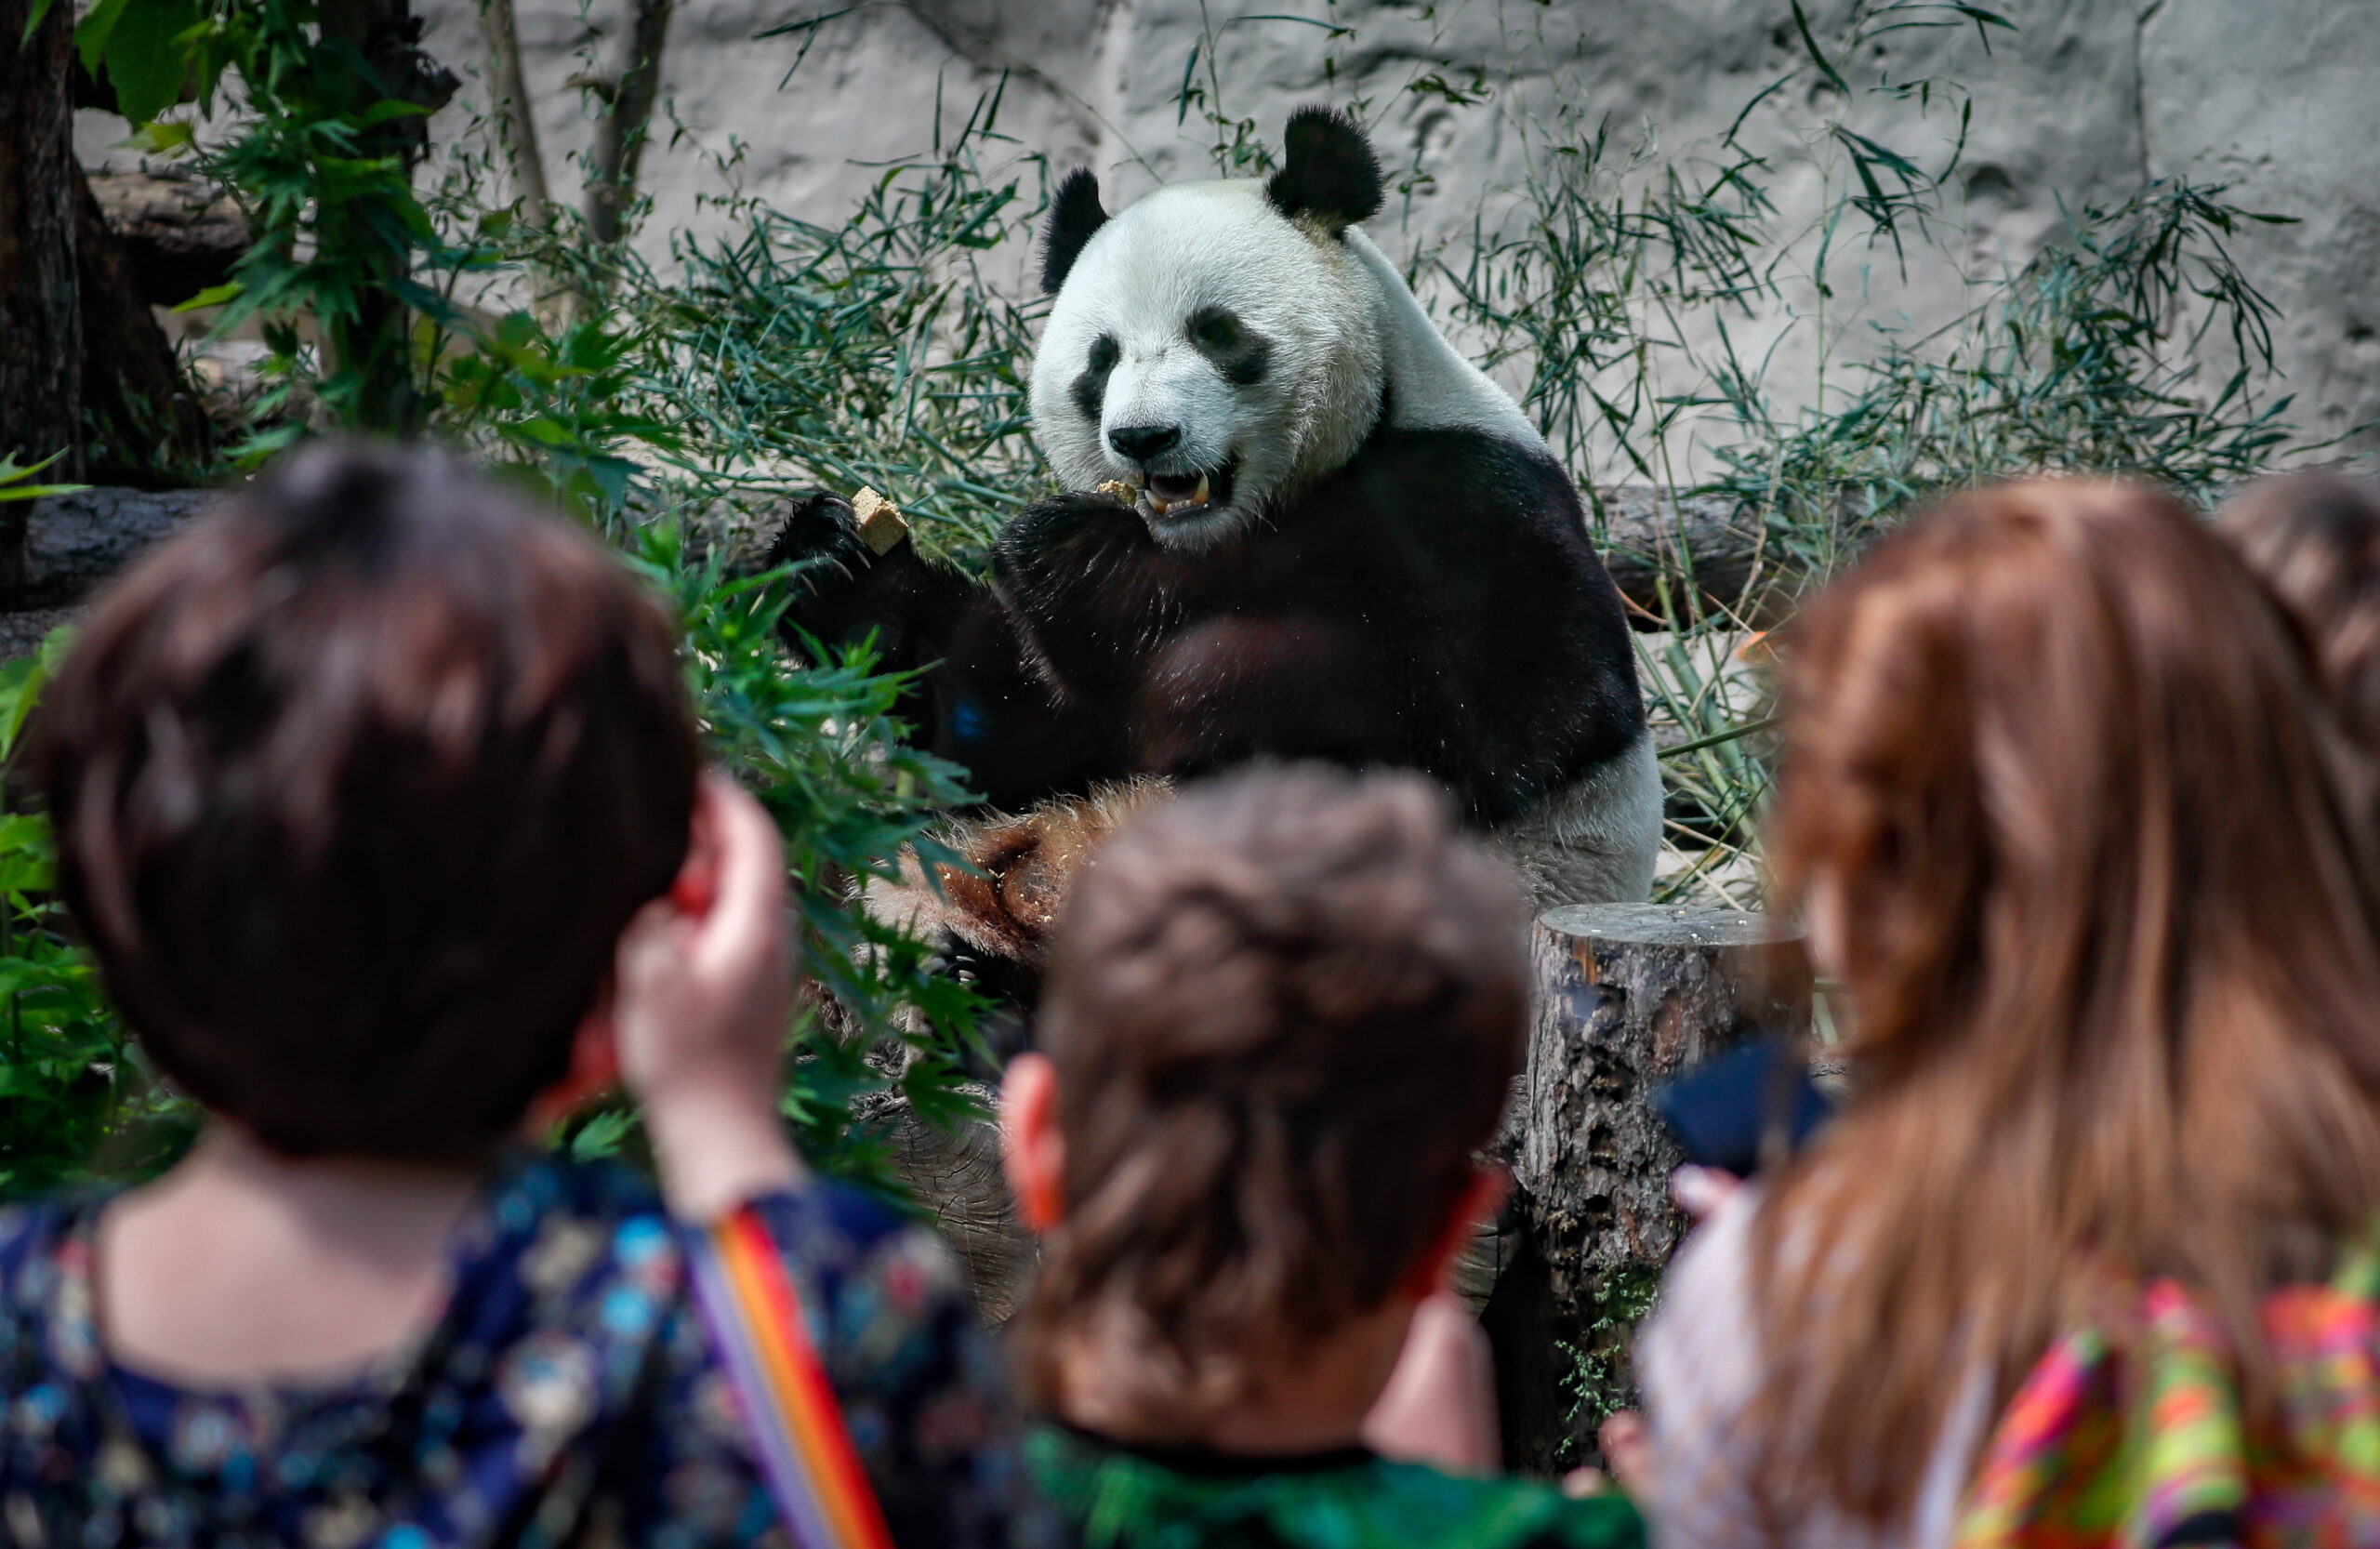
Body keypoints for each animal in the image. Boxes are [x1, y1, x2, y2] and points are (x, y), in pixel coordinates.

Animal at [771, 102, 1666, 989]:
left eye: (1217, 333)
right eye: (1101, 357)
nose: (1143, 437)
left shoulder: (1469, 510)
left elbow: (1483, 721)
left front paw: (1077, 558)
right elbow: (1008, 736)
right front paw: (834, 563)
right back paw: (965, 967)